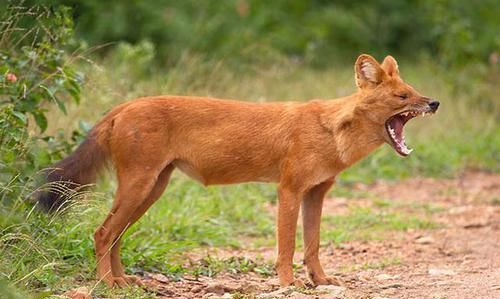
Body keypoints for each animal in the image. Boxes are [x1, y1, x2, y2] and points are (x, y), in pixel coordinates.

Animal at [37, 55, 440, 290]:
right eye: (402, 97)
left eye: (413, 90)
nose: (434, 102)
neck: (333, 131)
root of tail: (123, 105)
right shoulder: (289, 189)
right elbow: (287, 245)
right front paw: (288, 284)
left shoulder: (317, 192)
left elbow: (312, 244)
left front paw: (321, 280)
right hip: (139, 185)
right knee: (102, 232)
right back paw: (107, 285)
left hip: (152, 188)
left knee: (115, 235)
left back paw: (125, 282)